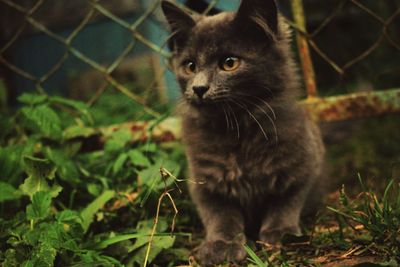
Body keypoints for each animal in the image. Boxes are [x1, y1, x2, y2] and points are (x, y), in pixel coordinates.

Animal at [161, 0, 326, 264]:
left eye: (229, 63)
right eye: (190, 66)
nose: (198, 88)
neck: (238, 129)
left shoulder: (305, 165)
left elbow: (287, 203)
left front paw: (280, 232)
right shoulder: (204, 182)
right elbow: (220, 215)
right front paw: (223, 245)